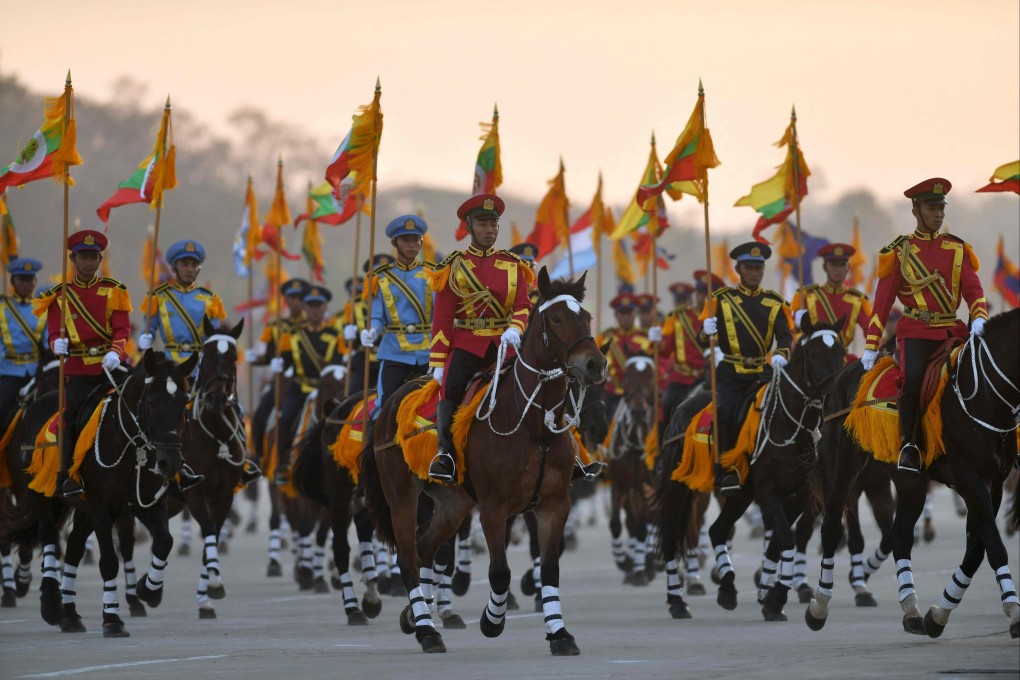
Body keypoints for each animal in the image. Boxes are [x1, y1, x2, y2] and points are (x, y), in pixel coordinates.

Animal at [361, 269, 603, 656]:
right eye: (556, 318)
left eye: (587, 317)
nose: (595, 364)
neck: (534, 426)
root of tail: (387, 403)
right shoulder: (493, 507)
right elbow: (500, 572)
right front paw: (492, 621)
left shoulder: (554, 504)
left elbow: (549, 570)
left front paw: (559, 633)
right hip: (401, 498)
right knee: (409, 558)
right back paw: (427, 630)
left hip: (453, 503)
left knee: (426, 547)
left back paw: (415, 616)